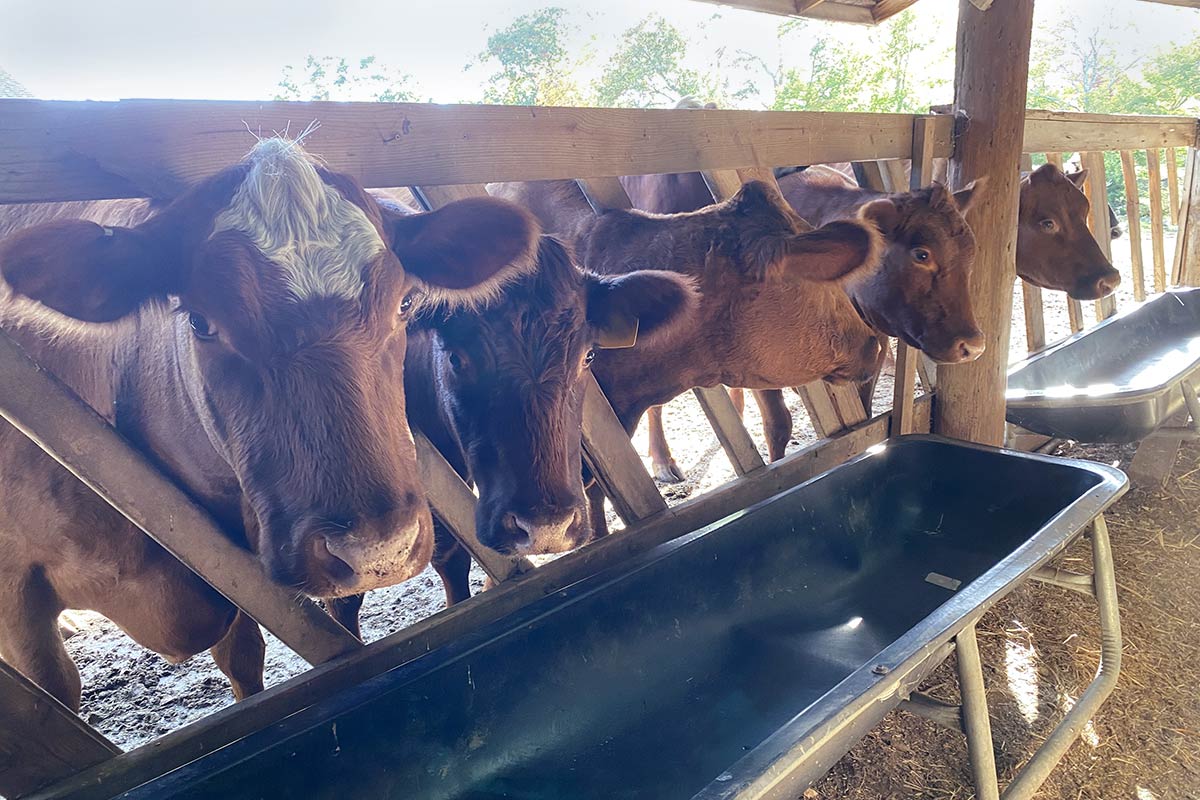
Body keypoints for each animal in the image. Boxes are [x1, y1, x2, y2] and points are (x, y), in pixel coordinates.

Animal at [0, 137, 539, 710]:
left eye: (406, 303)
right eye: (201, 322)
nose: (376, 550)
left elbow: (244, 657)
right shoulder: (15, 591)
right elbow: (53, 691)